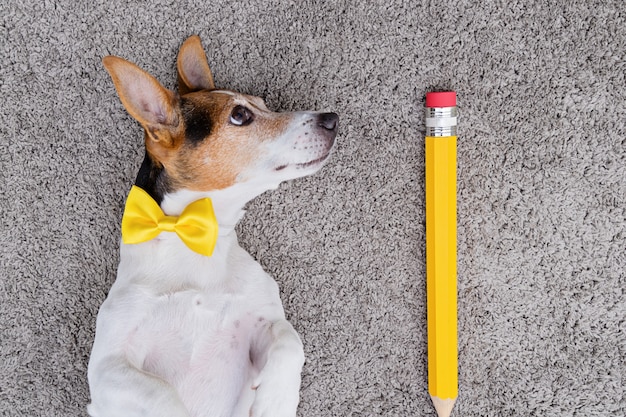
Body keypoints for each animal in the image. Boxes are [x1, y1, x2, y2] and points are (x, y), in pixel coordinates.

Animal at [88, 36, 336, 416]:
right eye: (240, 115)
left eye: (264, 104)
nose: (332, 118)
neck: (193, 240)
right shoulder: (107, 371)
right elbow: (163, 395)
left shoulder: (261, 327)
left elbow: (289, 341)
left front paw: (276, 399)